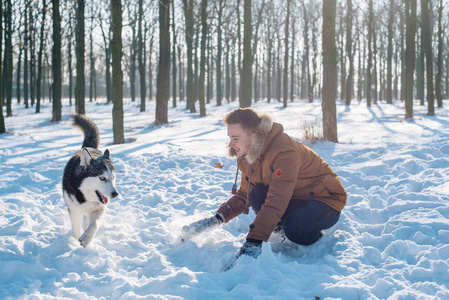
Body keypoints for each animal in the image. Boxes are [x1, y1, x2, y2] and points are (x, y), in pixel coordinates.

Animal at [63, 113, 119, 247]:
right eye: (102, 178)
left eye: (113, 178)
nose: (115, 194)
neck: (84, 196)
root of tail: (87, 147)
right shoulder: (73, 209)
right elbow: (75, 230)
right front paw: (74, 241)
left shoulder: (100, 208)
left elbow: (94, 223)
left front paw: (86, 238)